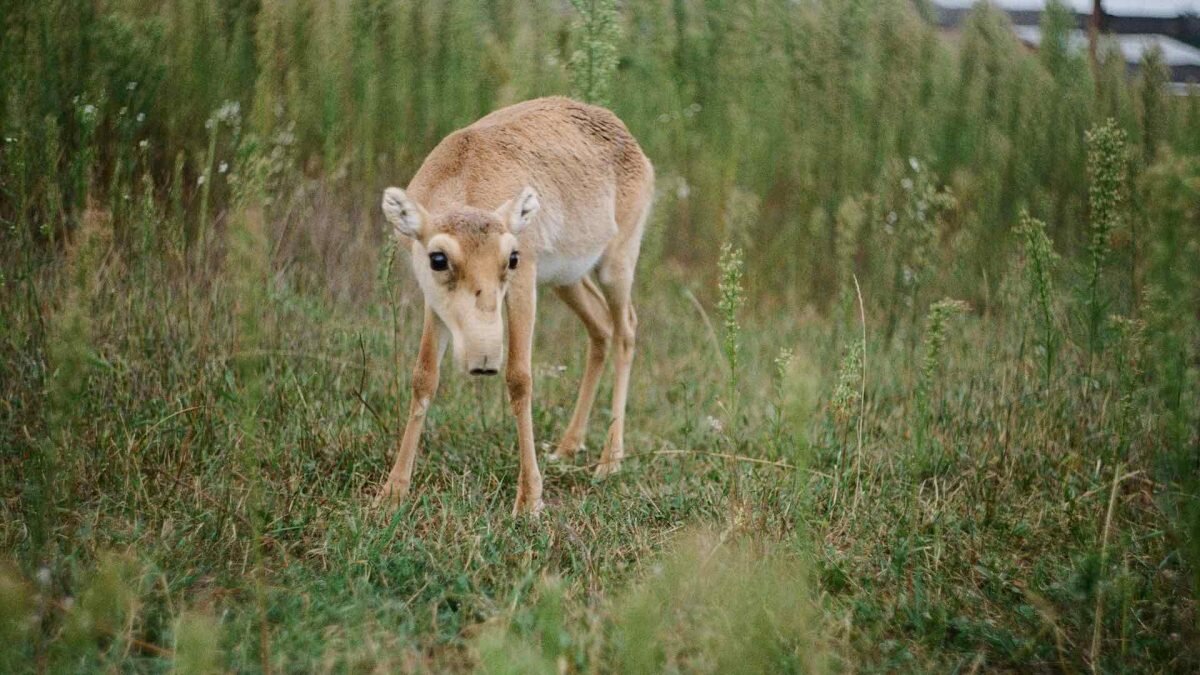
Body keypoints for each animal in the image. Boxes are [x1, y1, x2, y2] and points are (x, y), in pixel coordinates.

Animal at [376, 96, 652, 514]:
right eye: (437, 258)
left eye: (512, 258)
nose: (483, 359)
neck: (465, 176)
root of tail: (623, 131)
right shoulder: (433, 302)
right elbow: (423, 377)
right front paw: (392, 492)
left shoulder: (524, 285)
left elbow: (520, 378)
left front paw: (530, 499)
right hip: (567, 279)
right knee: (600, 329)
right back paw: (567, 447)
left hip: (616, 263)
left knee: (626, 331)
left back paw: (609, 461)